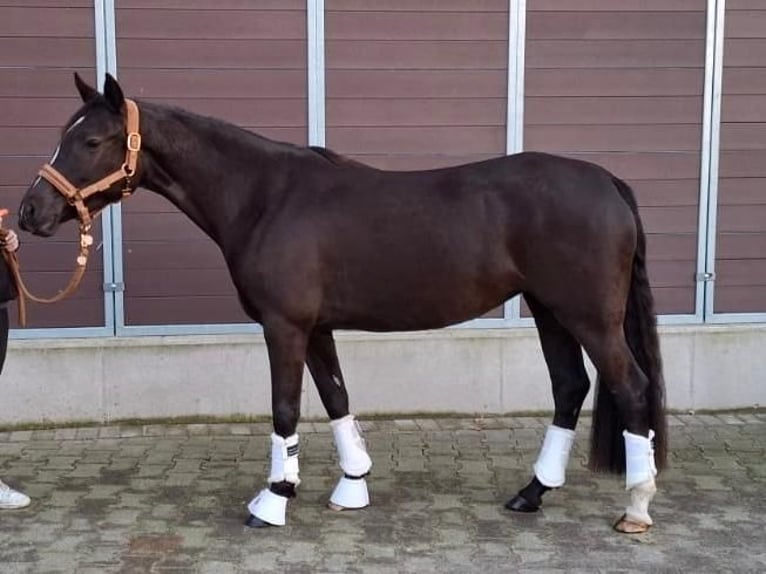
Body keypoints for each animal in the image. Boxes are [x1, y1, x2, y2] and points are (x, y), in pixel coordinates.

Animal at [16, 75, 664, 536]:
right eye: (62, 134)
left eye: (90, 140)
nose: (29, 213)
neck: (265, 196)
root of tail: (608, 182)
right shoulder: (316, 328)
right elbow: (335, 398)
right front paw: (352, 487)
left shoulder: (284, 326)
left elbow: (285, 408)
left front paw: (272, 501)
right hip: (550, 310)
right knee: (570, 388)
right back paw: (531, 494)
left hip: (589, 317)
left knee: (631, 388)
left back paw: (636, 506)